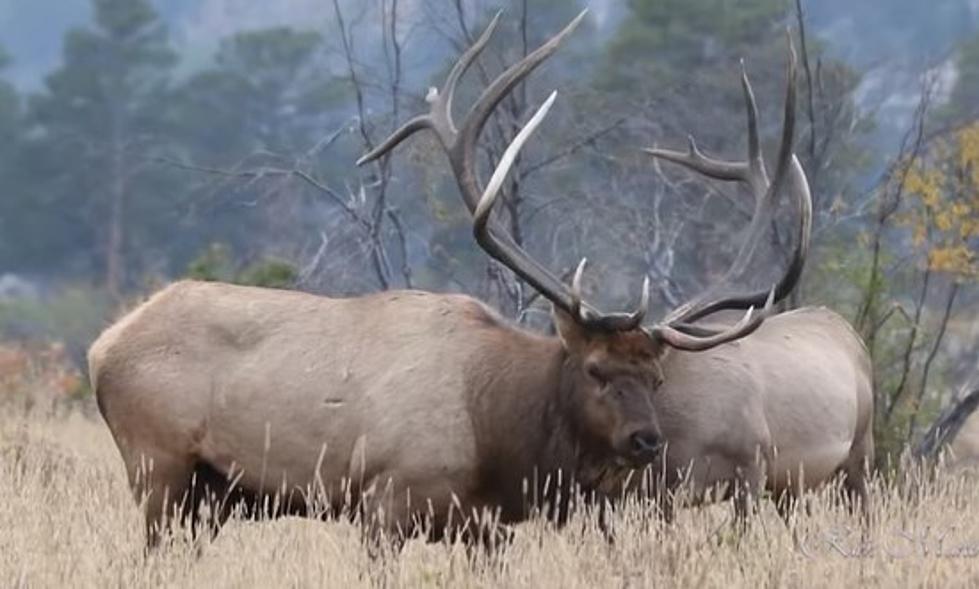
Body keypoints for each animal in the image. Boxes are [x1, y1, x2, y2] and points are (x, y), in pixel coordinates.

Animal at [94, 9, 780, 548]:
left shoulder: (483, 525)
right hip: (157, 466)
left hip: (208, 495)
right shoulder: (385, 498)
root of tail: (103, 346)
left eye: (657, 377)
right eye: (595, 370)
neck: (497, 434)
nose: (646, 440)